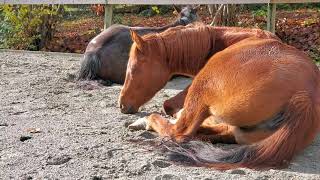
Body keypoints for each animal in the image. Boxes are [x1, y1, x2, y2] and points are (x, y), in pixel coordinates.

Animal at [119, 24, 320, 169]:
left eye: (133, 69)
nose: (122, 105)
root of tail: (305, 97)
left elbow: (168, 105)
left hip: (201, 88)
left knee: (179, 132)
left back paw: (147, 121)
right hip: (241, 133)